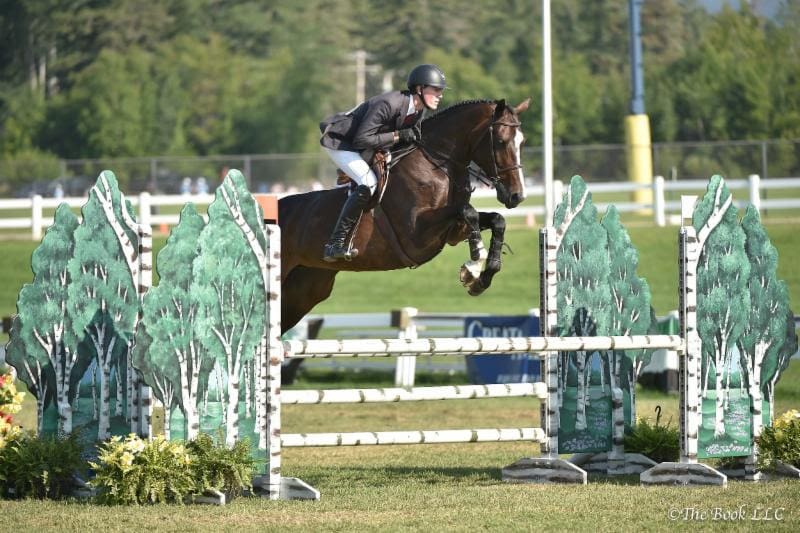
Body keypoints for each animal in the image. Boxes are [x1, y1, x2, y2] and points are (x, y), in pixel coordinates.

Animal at [279, 98, 530, 334]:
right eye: (501, 141)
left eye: (522, 142)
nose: (517, 196)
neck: (437, 164)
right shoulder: (416, 236)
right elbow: (468, 212)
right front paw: (474, 265)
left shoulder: (453, 232)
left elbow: (495, 219)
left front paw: (483, 276)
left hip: (305, 291)